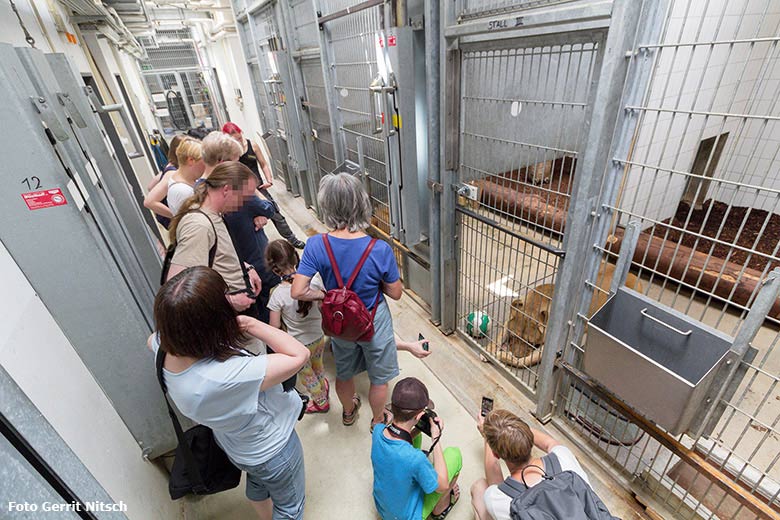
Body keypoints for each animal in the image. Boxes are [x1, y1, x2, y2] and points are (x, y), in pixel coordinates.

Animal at [496, 264, 644, 370]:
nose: (516, 354)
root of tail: (632, 274)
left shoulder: (549, 348)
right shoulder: (508, 321)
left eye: (532, 343)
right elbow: (498, 338)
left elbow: (524, 361)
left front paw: (506, 357)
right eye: (514, 336)